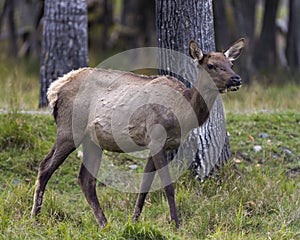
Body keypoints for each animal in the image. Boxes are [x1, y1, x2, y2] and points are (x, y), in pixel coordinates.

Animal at [31, 38, 245, 229]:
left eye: (230, 63)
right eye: (211, 65)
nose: (237, 78)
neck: (182, 114)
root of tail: (54, 89)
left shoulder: (158, 144)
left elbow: (144, 185)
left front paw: (134, 221)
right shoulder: (156, 137)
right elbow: (168, 185)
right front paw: (176, 225)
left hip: (93, 141)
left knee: (85, 180)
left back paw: (104, 223)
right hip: (68, 129)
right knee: (45, 167)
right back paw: (35, 217)